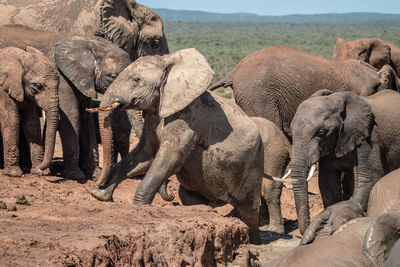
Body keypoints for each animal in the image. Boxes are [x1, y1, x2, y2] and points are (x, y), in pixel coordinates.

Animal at [0, 47, 59, 177]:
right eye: (38, 86)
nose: (45, 169)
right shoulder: (2, 91)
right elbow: (11, 120)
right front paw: (13, 174)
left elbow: (32, 123)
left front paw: (39, 171)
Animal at [91, 48, 266, 245]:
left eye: (136, 80)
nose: (95, 183)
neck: (170, 65)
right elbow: (144, 156)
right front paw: (99, 195)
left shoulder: (186, 118)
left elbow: (169, 159)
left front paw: (139, 206)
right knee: (190, 197)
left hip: (253, 166)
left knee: (248, 210)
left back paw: (254, 242)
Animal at [290, 89, 400, 234]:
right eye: (291, 131)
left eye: (321, 133)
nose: (307, 224)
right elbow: (327, 182)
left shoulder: (368, 138)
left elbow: (368, 177)